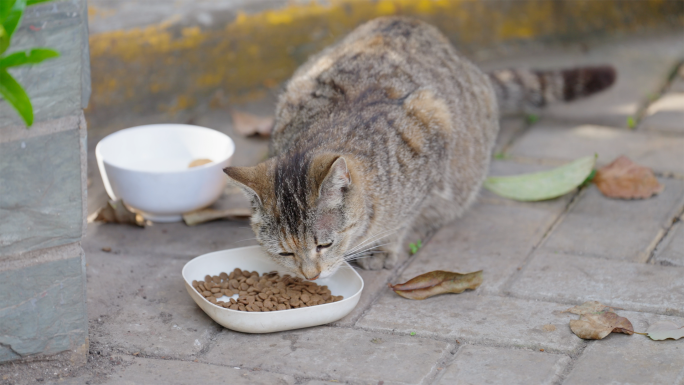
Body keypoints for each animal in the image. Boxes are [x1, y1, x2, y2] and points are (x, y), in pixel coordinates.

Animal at [224, 15, 616, 280]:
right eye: (285, 252)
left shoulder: (432, 124)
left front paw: (386, 245)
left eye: (324, 244)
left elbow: (404, 218)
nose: (311, 275)